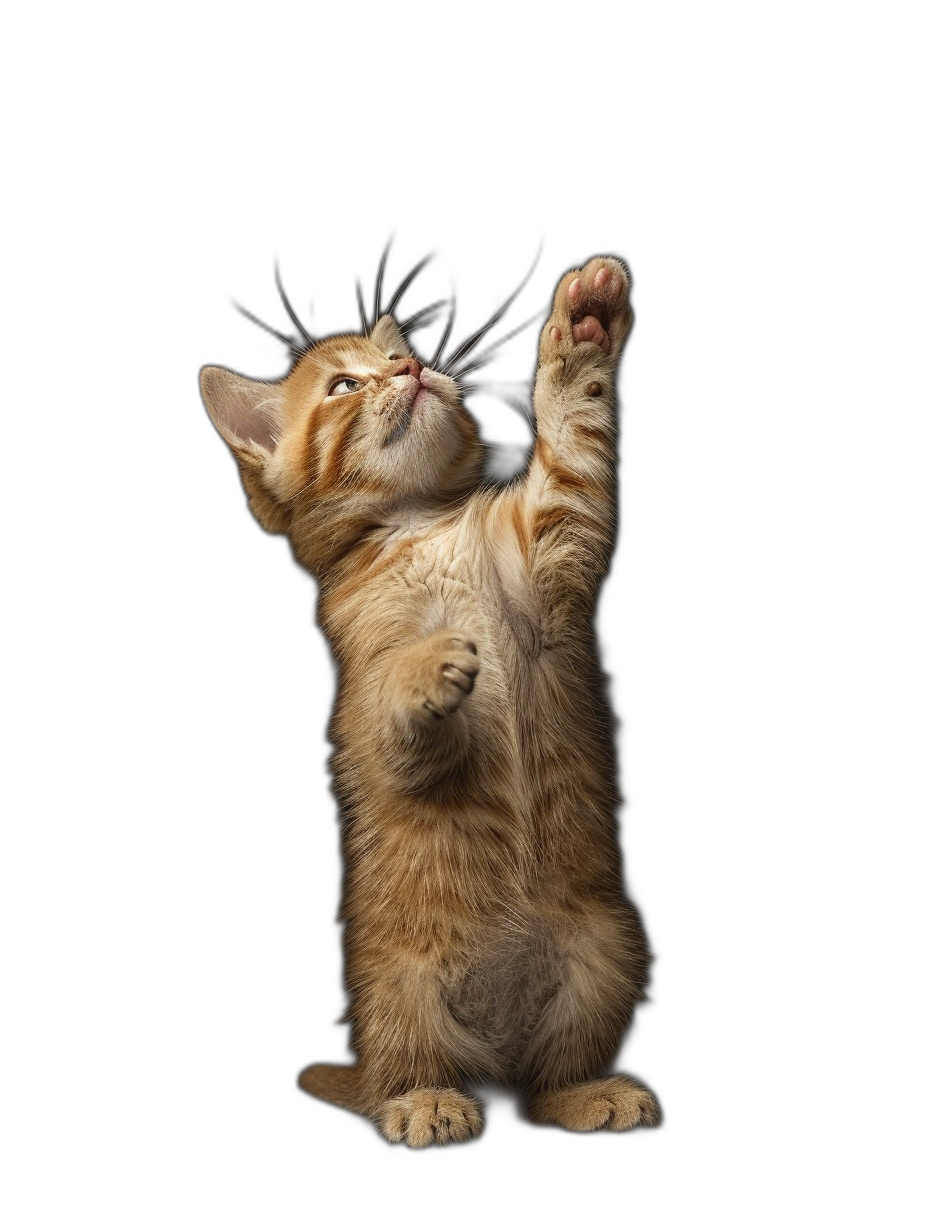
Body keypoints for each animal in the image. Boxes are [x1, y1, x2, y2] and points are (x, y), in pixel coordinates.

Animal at [199, 255, 660, 1148]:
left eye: (392, 357)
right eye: (345, 384)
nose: (411, 368)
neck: (423, 525)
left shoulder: (552, 556)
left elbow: (575, 450)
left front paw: (583, 331)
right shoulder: (369, 696)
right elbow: (394, 705)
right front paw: (430, 663)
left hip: (603, 956)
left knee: (536, 1087)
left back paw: (582, 1091)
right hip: (403, 993)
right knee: (417, 1072)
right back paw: (426, 1102)